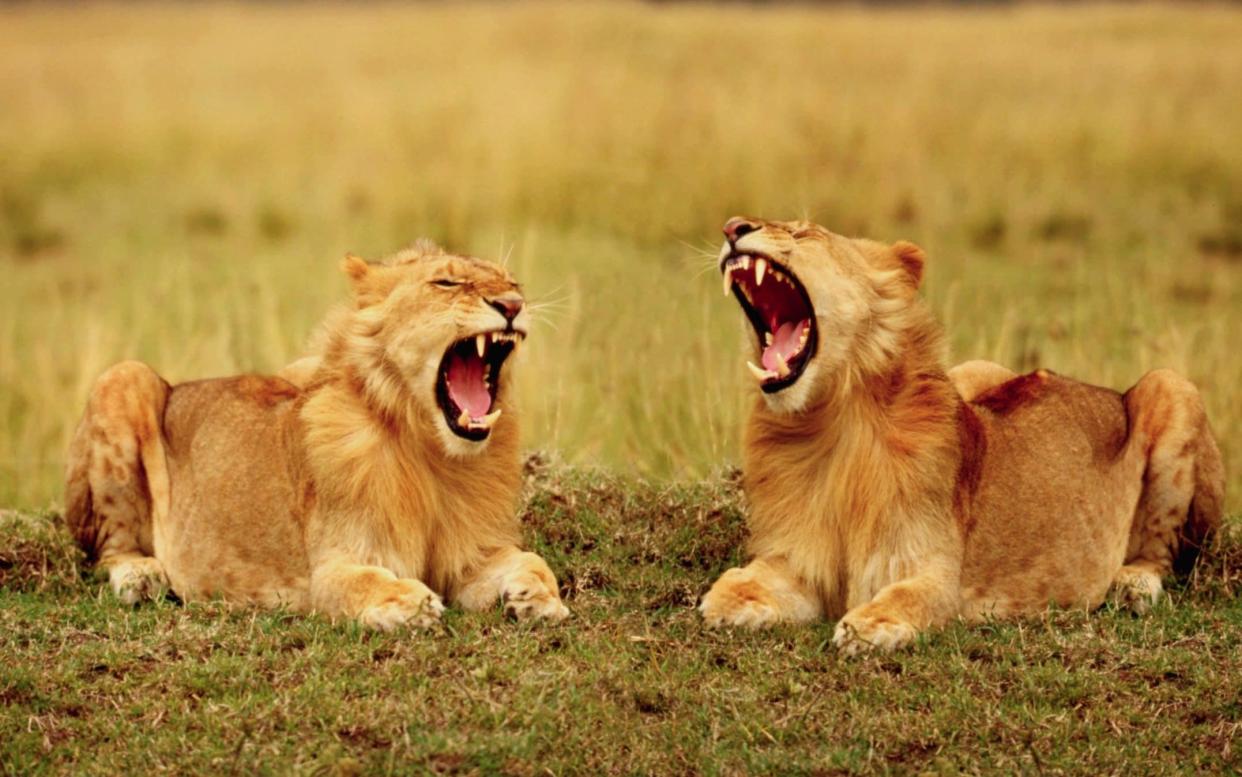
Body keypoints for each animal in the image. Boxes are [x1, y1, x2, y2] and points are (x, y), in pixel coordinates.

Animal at [65, 242, 568, 630]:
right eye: (446, 283)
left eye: (514, 282)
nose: (513, 305)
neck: (433, 452)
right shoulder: (330, 567)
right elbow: (361, 582)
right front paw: (411, 602)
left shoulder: (469, 556)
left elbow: (528, 559)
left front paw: (541, 597)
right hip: (123, 377)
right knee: (109, 549)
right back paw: (140, 577)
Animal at [700, 214, 1222, 650]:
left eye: (804, 231)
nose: (732, 226)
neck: (828, 424)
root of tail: (1100, 389)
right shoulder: (802, 560)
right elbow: (746, 580)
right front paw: (725, 599)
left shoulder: (934, 569)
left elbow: (912, 598)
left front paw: (868, 627)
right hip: (976, 369)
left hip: (1171, 387)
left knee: (1162, 549)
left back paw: (1133, 584)